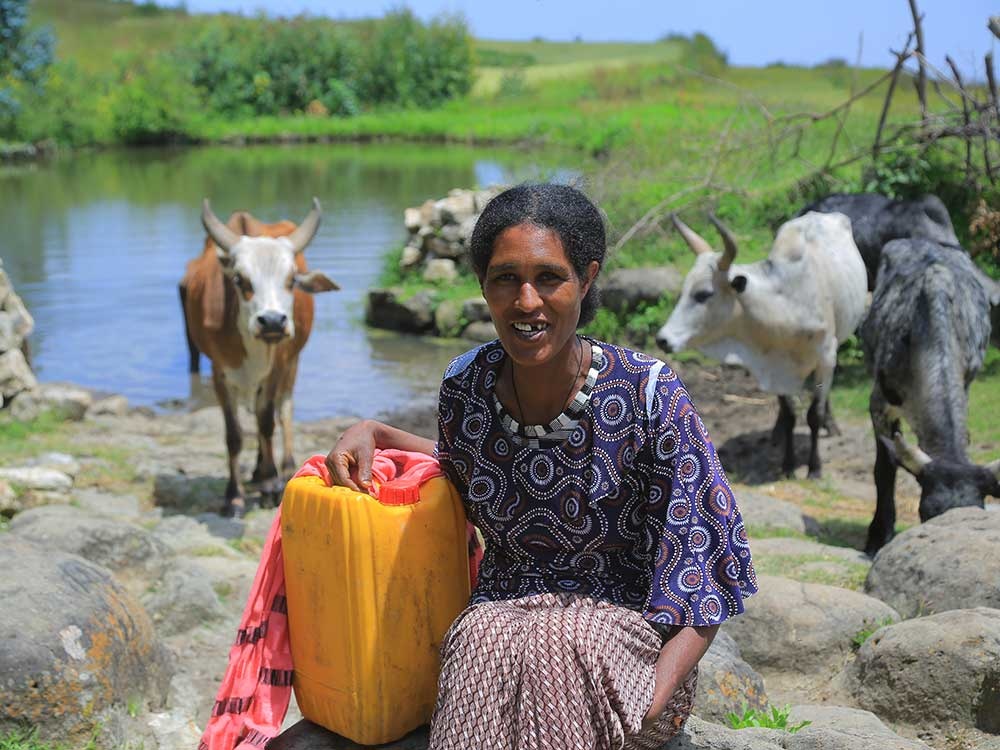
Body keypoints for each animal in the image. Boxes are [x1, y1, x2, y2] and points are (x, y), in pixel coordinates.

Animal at [178, 198, 338, 516]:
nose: (273, 321)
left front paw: (269, 485)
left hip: (292, 364)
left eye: (292, 279)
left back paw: (282, 468)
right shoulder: (220, 372)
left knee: (284, 410)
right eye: (240, 279)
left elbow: (267, 423)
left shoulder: (277, 367)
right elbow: (234, 434)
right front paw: (234, 495)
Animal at [656, 212, 868, 482]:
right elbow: (790, 415)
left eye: (703, 294)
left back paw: (830, 425)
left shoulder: (826, 358)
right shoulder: (778, 369)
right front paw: (788, 465)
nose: (663, 339)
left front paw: (815, 467)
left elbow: (814, 414)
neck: (785, 307)